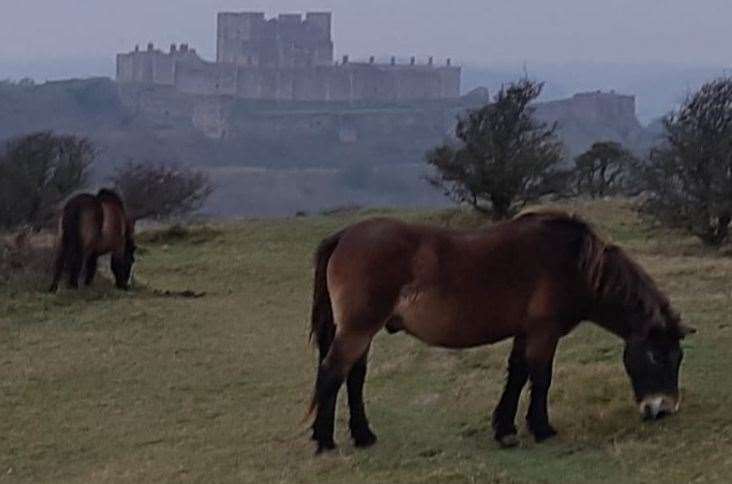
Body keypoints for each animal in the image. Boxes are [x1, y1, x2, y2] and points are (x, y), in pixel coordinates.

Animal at [306, 211, 696, 454]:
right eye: (657, 355)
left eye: (678, 358)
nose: (663, 409)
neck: (574, 263)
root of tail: (345, 235)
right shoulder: (544, 333)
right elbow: (540, 378)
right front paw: (541, 428)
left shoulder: (525, 332)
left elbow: (517, 375)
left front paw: (505, 429)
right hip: (358, 329)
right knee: (332, 373)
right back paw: (325, 441)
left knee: (353, 377)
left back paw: (363, 435)